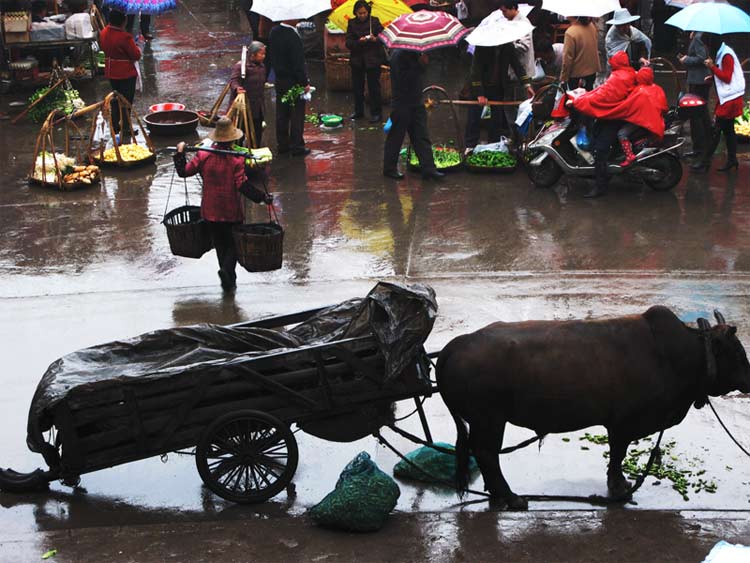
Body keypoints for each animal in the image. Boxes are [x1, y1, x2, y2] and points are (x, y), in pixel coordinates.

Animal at [438, 308, 748, 512]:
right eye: (735, 352)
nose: (749, 379)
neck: (676, 355)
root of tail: (457, 344)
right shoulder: (623, 423)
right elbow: (618, 454)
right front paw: (619, 488)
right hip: (489, 419)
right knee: (487, 454)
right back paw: (511, 498)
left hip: (485, 421)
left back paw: (497, 495)